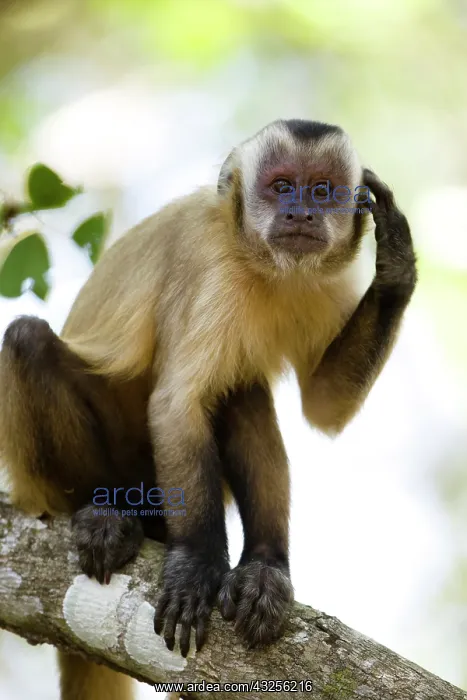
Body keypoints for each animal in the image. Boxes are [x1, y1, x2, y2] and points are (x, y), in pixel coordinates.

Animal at [0, 119, 417, 700]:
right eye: (282, 187)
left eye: (321, 190)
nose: (301, 213)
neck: (260, 264)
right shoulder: (207, 263)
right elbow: (178, 404)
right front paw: (197, 562)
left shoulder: (332, 276)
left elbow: (324, 408)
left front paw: (397, 261)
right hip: (53, 484)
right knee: (27, 341)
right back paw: (105, 513)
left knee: (241, 391)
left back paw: (265, 567)